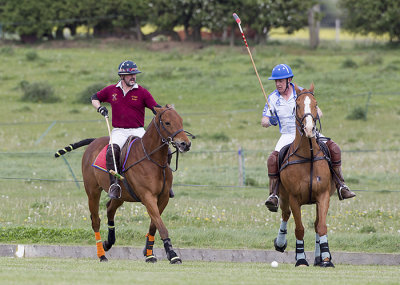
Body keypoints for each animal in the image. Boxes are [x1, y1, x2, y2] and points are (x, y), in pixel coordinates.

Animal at [55, 103, 193, 262]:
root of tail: (94, 141)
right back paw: (102, 254)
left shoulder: (163, 197)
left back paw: (109, 242)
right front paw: (172, 254)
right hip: (92, 191)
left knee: (110, 208)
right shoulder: (147, 196)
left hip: (120, 195)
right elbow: (161, 225)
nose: (185, 144)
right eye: (167, 122)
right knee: (95, 220)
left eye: (180, 120)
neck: (152, 159)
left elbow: (154, 224)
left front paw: (149, 252)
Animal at [274, 84, 336, 266]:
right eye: (298, 105)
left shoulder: (323, 195)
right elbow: (299, 229)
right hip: (283, 195)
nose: (309, 129)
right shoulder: (294, 198)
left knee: (315, 224)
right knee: (285, 214)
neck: (308, 155)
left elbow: (321, 226)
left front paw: (326, 259)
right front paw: (301, 259)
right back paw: (280, 243)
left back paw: (318, 257)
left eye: (315, 104)